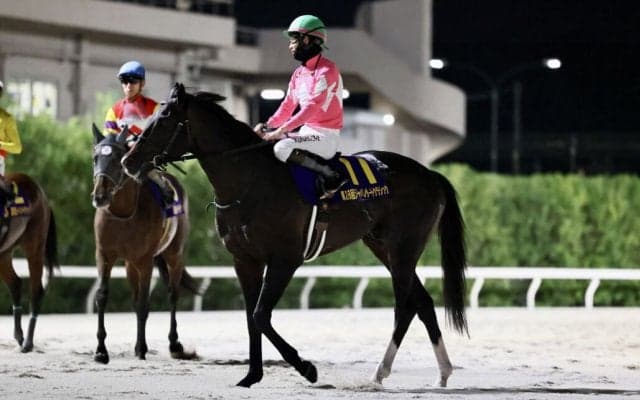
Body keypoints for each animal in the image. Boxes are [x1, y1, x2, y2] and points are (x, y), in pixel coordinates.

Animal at [0, 172, 58, 353]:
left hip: (35, 247)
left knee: (36, 291)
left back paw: (28, 343)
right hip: (5, 252)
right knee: (15, 283)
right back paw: (19, 336)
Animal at [91, 124, 199, 363]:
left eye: (116, 159)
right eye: (95, 158)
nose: (99, 196)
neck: (123, 213)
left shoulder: (145, 260)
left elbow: (143, 303)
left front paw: (142, 347)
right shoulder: (104, 255)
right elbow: (102, 296)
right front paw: (101, 350)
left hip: (174, 255)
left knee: (172, 293)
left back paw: (174, 344)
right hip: (130, 264)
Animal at [122, 83, 467, 388]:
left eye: (163, 119)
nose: (128, 161)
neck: (251, 181)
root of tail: (430, 174)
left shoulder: (285, 260)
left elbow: (261, 315)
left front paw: (307, 368)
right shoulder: (244, 260)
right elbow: (251, 317)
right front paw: (252, 376)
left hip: (403, 248)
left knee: (406, 306)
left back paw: (380, 371)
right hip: (382, 246)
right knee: (422, 302)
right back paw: (443, 372)